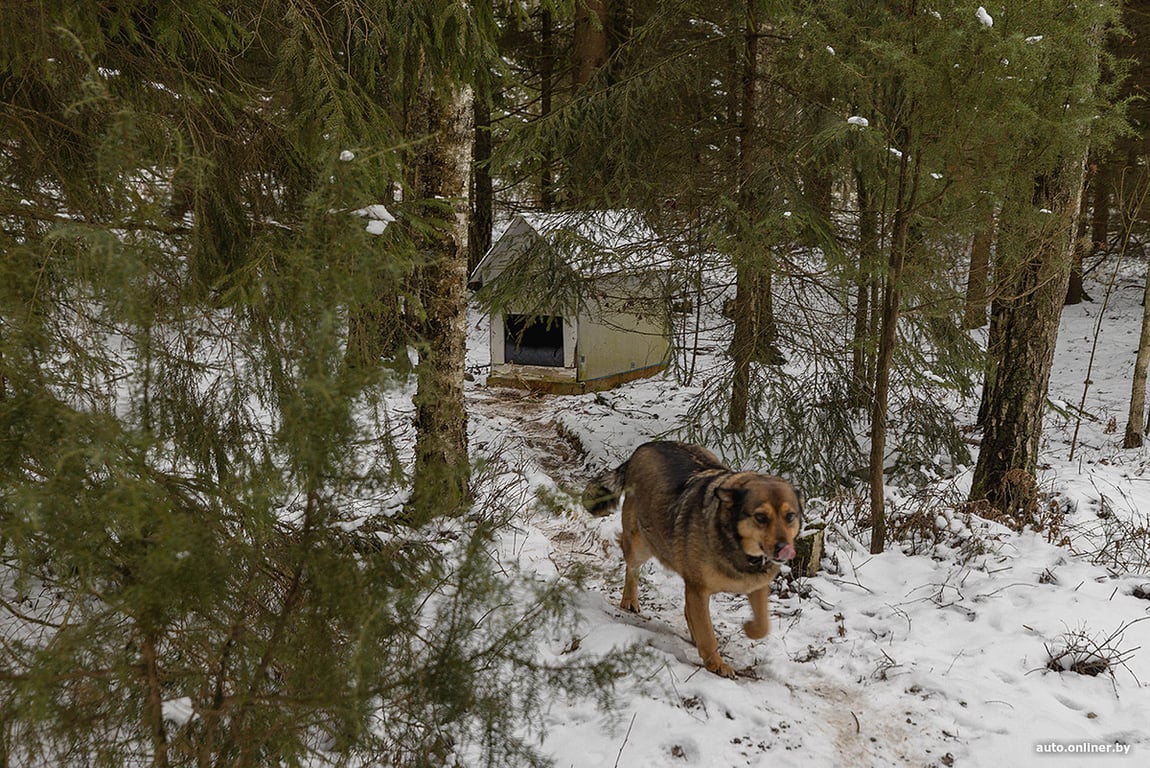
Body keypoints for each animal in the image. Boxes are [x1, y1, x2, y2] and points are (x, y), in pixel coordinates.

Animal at [584, 441, 800, 676]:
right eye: (761, 517)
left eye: (790, 517)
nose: (784, 548)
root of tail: (644, 446)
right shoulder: (698, 588)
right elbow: (707, 632)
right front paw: (716, 664)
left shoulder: (756, 586)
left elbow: (762, 625)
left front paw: (750, 629)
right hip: (640, 543)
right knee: (632, 568)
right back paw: (630, 600)